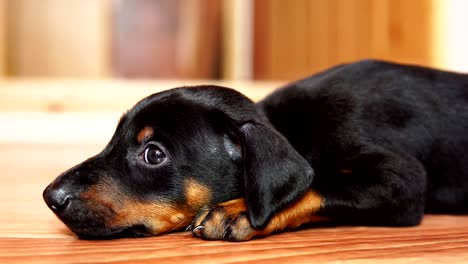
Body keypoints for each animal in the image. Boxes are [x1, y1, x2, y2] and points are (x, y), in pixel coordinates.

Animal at [43, 60, 468, 241]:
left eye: (153, 154)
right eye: (114, 139)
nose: (51, 197)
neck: (290, 129)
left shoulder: (403, 181)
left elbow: (322, 183)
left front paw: (238, 211)